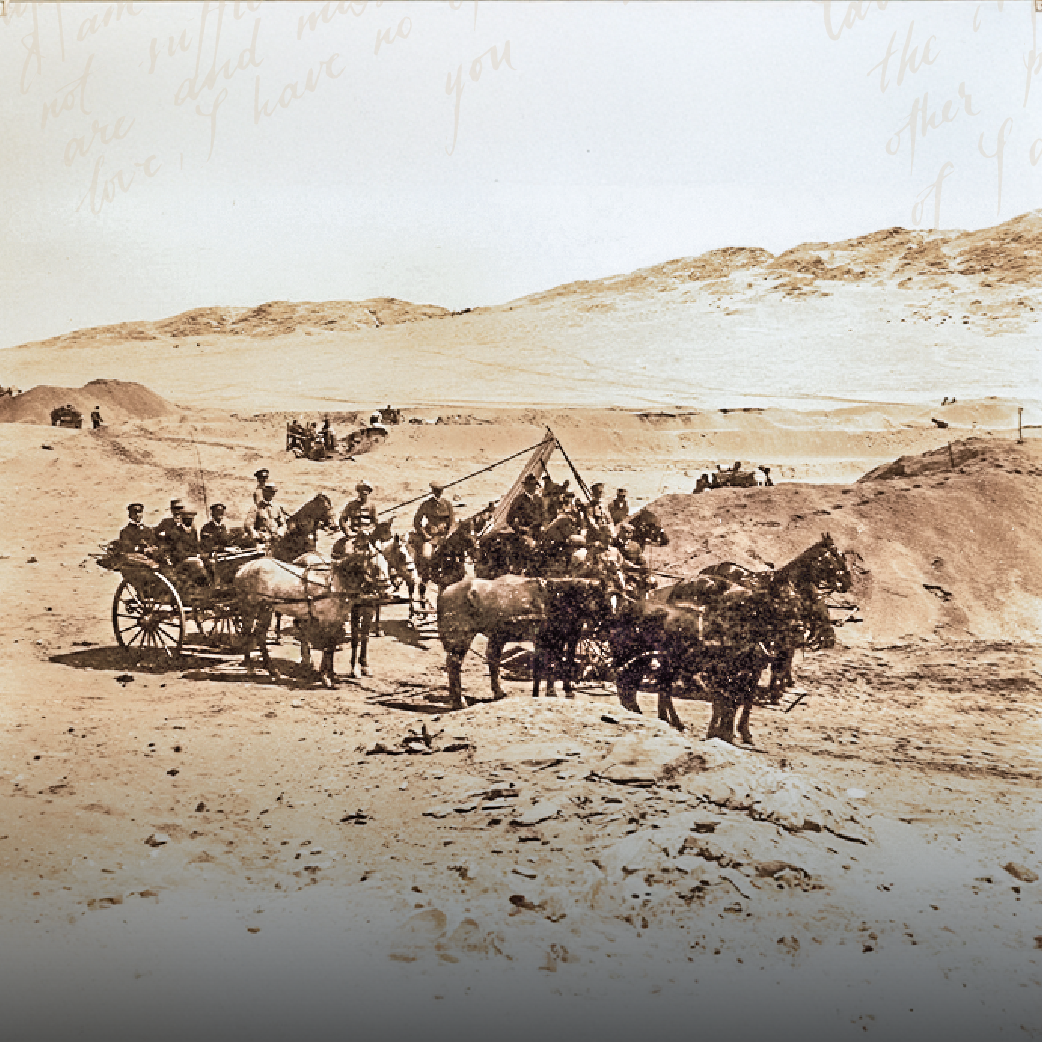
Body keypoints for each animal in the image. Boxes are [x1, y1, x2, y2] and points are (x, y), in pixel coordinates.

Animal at [437, 574, 612, 709]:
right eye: (598, 598)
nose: (608, 625)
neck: (557, 600)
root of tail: (446, 591)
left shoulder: (567, 639)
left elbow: (563, 663)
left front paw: (564, 691)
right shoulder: (550, 639)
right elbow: (552, 665)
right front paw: (553, 692)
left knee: (491, 659)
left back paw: (497, 693)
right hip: (461, 637)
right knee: (454, 664)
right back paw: (459, 702)